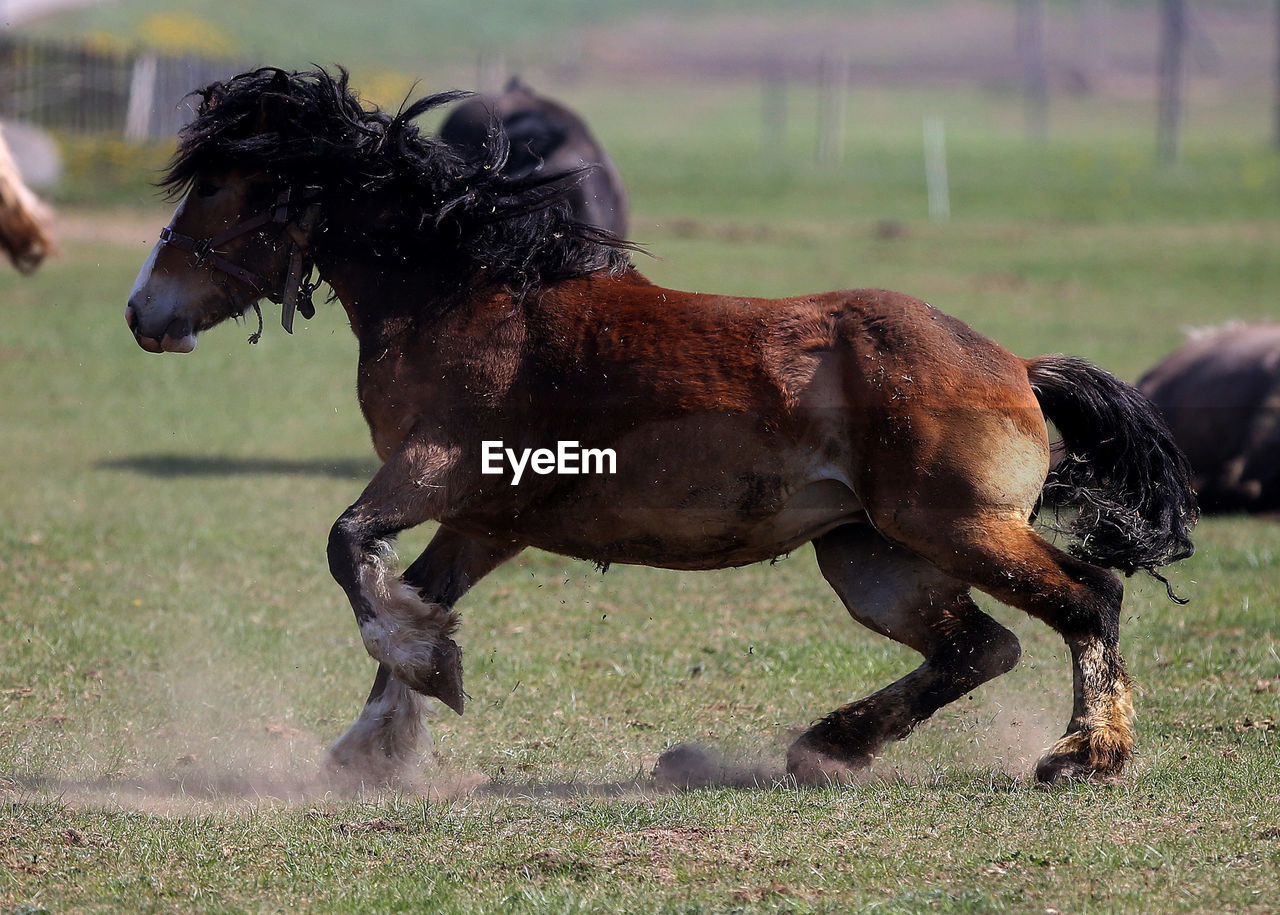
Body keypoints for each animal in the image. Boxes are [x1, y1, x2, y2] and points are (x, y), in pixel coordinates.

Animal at [124, 69, 1192, 788]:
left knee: (1086, 598)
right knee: (978, 647)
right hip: (870, 555)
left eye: (216, 186)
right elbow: (412, 592)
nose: (142, 310)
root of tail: (1014, 366)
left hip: (957, 528)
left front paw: (425, 672)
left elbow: (351, 552)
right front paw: (374, 741)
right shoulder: (485, 519)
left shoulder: (437, 471)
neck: (462, 297)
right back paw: (829, 746)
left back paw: (1086, 752)